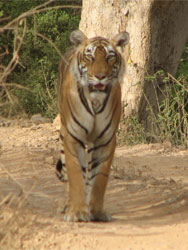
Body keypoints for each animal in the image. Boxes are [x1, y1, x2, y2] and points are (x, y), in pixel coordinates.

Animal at [55, 29, 129, 223]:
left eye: (110, 57)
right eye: (90, 57)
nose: (100, 76)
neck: (95, 102)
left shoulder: (106, 140)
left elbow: (99, 179)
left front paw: (96, 211)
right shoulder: (73, 137)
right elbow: (75, 174)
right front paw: (77, 212)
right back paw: (67, 205)